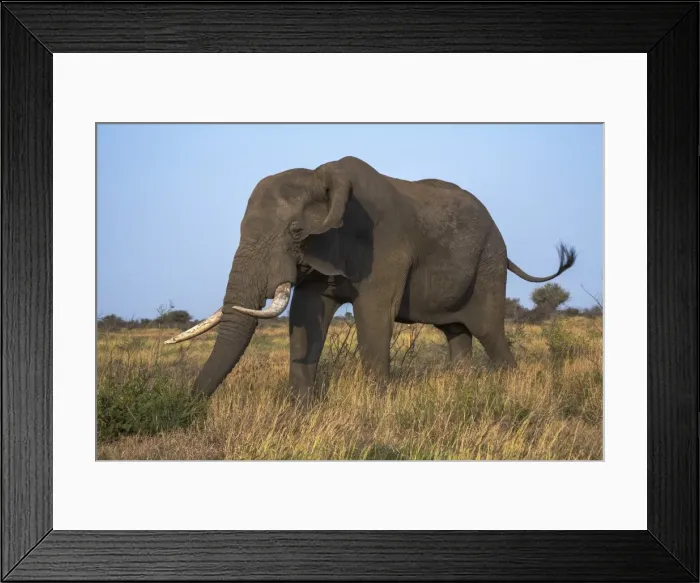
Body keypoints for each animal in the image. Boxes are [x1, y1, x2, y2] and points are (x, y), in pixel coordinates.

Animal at [166, 156, 576, 401]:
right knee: (457, 332)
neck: (325, 177)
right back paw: (462, 387)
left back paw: (511, 388)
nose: (190, 406)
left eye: (296, 231)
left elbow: (373, 317)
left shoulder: (387, 247)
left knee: (490, 332)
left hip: (489, 262)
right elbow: (305, 316)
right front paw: (300, 410)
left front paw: (376, 406)